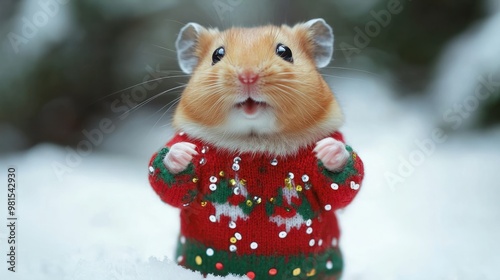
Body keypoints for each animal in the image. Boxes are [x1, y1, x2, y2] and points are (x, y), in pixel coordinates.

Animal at [147, 19, 364, 280]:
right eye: (217, 54)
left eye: (285, 52)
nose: (247, 76)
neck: (254, 139)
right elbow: (169, 187)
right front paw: (184, 153)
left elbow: (340, 191)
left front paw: (327, 150)